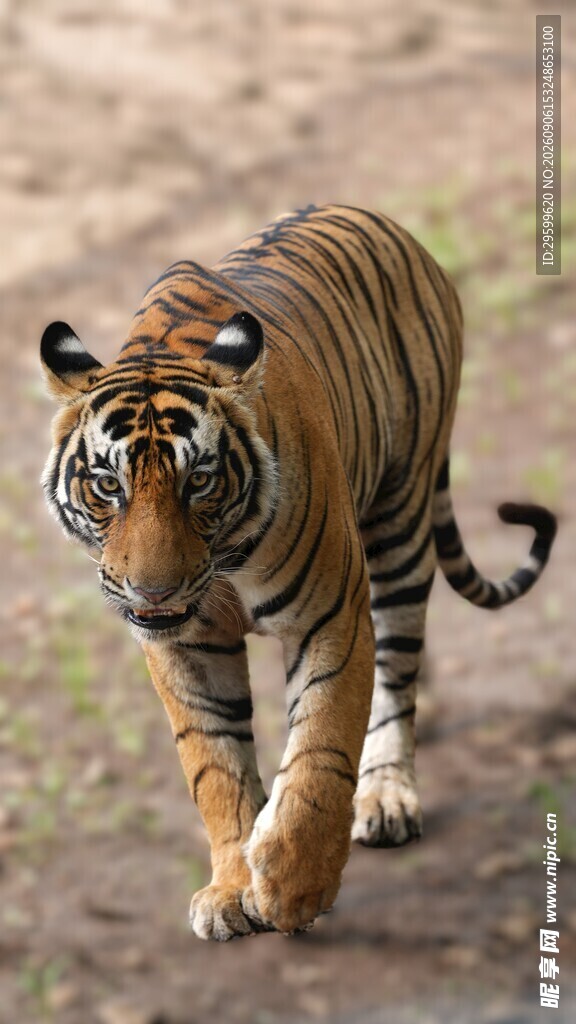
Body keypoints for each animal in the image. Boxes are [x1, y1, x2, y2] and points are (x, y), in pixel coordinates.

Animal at [40, 204, 556, 941]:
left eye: (199, 481)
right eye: (108, 485)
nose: (154, 590)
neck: (221, 567)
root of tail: (390, 225)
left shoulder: (330, 615)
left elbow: (319, 750)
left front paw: (291, 889)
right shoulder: (184, 646)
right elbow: (215, 764)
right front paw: (231, 889)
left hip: (400, 523)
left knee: (397, 670)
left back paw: (387, 794)